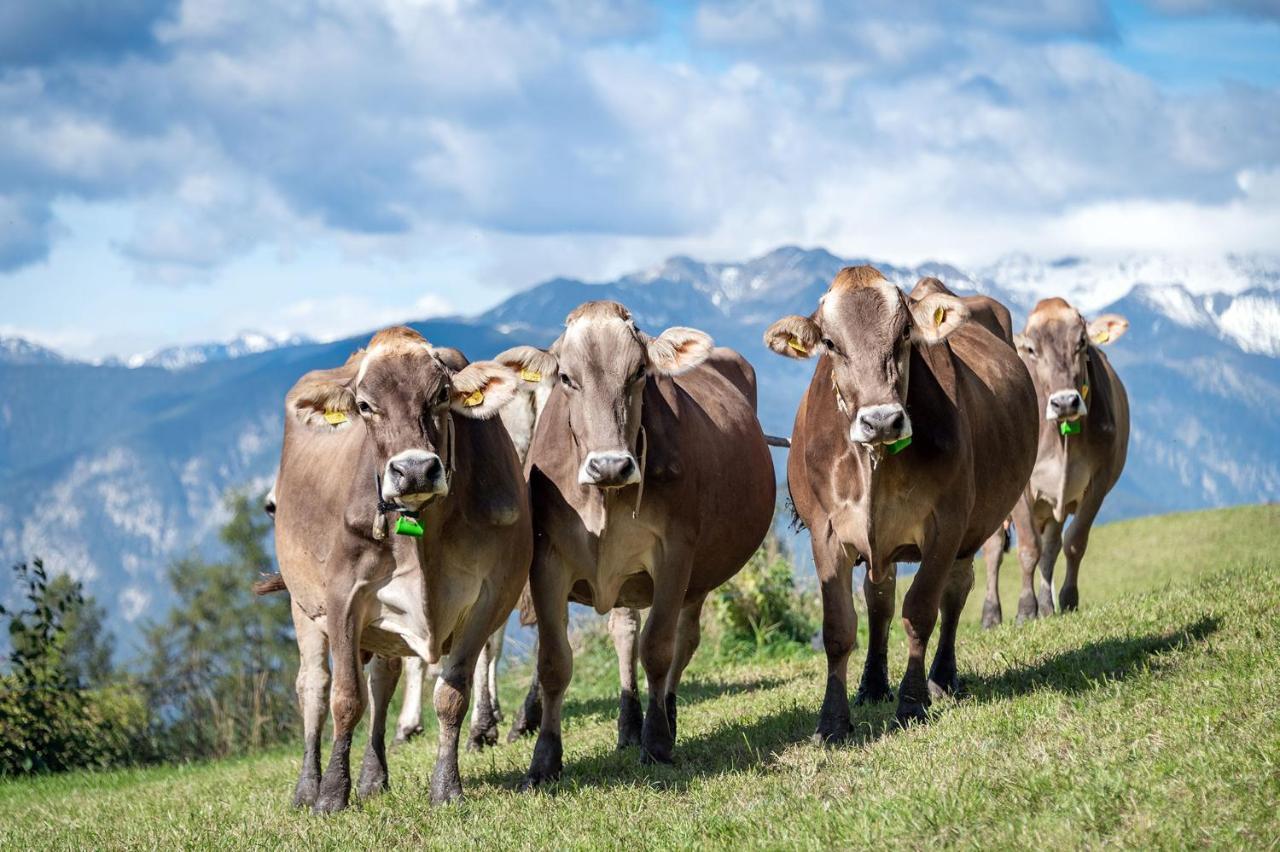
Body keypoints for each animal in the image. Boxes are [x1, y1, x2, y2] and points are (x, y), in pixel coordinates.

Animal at [270, 324, 529, 808]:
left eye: (441, 394)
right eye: (364, 406)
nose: (414, 471)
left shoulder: (490, 595)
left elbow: (450, 694)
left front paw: (446, 788)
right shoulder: (343, 596)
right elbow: (345, 698)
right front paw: (331, 796)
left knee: (382, 683)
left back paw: (374, 777)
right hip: (302, 604)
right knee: (313, 686)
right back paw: (306, 787)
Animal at [504, 300, 773, 782]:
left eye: (639, 372)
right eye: (567, 378)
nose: (610, 465)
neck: (604, 499)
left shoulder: (675, 554)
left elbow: (659, 649)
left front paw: (658, 742)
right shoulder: (548, 561)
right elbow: (554, 662)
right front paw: (544, 759)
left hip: (697, 577)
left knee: (683, 640)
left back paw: (664, 716)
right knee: (625, 631)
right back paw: (629, 723)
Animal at [762, 269, 1034, 731]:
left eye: (905, 332)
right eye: (830, 343)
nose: (882, 420)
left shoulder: (946, 525)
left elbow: (921, 611)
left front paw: (912, 703)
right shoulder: (826, 532)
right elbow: (840, 627)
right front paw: (833, 722)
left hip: (970, 530)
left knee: (954, 594)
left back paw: (942, 678)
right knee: (880, 601)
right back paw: (873, 684)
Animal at [977, 298, 1131, 624]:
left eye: (1082, 342)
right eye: (1031, 349)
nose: (1064, 402)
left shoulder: (1097, 481)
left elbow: (1073, 543)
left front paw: (1067, 599)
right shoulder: (1019, 489)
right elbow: (1027, 549)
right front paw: (1025, 609)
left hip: (1050, 508)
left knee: (1051, 547)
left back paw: (1047, 606)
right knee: (993, 548)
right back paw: (991, 614)